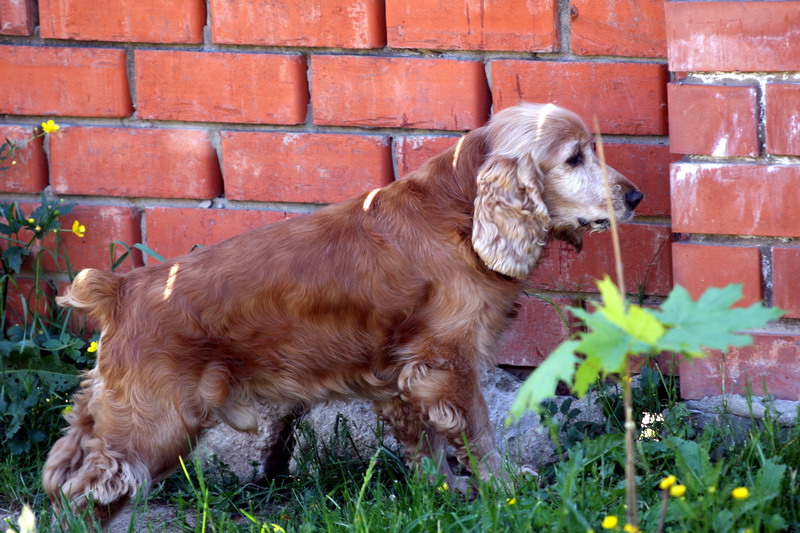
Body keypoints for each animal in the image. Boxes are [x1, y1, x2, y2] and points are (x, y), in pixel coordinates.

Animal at [42, 102, 644, 520]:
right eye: (574, 158)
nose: (635, 196)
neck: (458, 209)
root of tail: (122, 289)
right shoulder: (447, 363)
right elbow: (478, 434)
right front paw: (504, 487)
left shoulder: (404, 375)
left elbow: (426, 445)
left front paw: (446, 491)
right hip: (157, 421)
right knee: (90, 485)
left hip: (112, 407)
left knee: (64, 463)